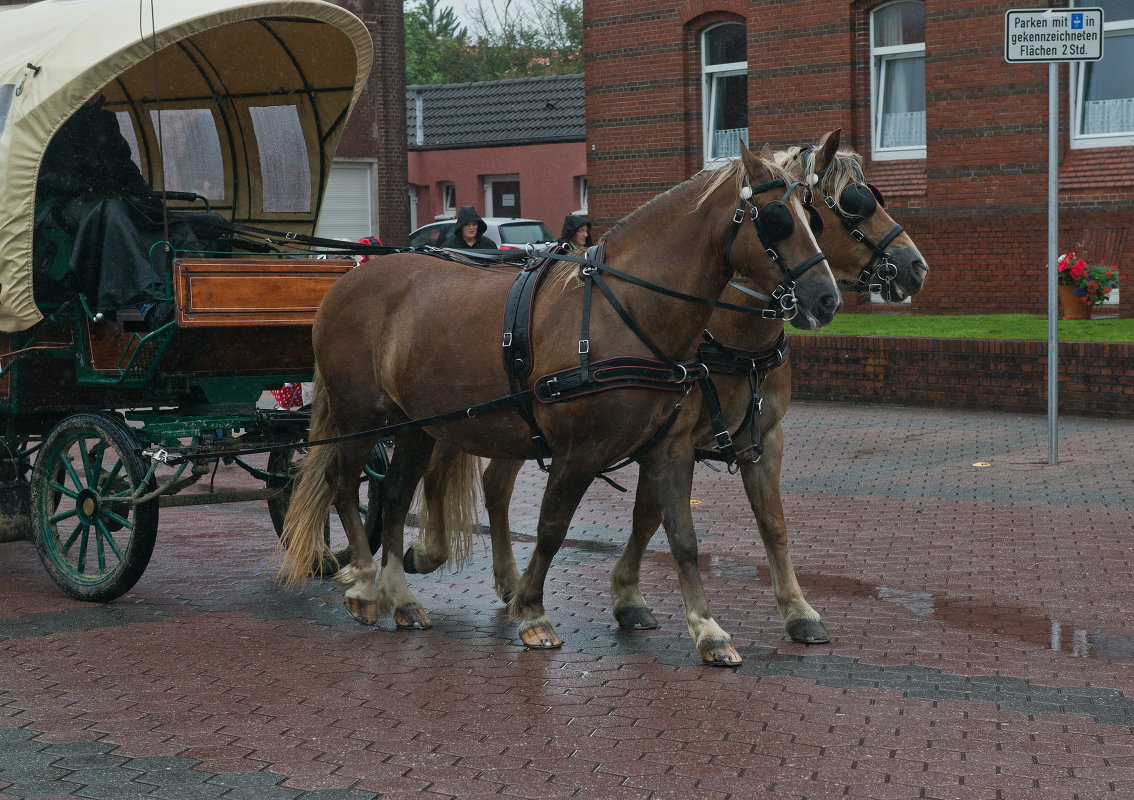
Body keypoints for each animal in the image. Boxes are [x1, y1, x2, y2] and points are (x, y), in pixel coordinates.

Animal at [274, 135, 843, 662]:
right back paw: (365, 584)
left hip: (415, 425)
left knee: (392, 498)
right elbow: (551, 528)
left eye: (813, 213)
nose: (826, 299)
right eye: (777, 221)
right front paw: (532, 612)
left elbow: (682, 536)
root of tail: (352, 277)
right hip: (360, 416)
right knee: (343, 485)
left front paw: (707, 629)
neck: (626, 311)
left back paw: (403, 598)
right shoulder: (578, 452)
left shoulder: (671, 448)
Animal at [403, 132, 925, 653]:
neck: (726, 337)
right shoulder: (671, 439)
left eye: (815, 213)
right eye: (844, 206)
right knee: (450, 467)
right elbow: (652, 518)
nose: (914, 268)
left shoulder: (757, 439)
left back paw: (504, 580)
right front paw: (634, 599)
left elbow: (766, 525)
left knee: (491, 483)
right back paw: (434, 555)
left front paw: (796, 610)